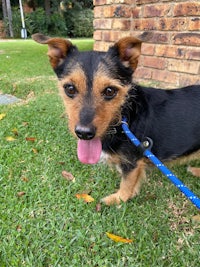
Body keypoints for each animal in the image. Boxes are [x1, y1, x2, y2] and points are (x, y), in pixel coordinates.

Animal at [32, 33, 200, 205]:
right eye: (70, 88)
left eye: (110, 91)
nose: (84, 133)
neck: (124, 119)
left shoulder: (132, 162)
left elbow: (126, 184)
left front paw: (117, 199)